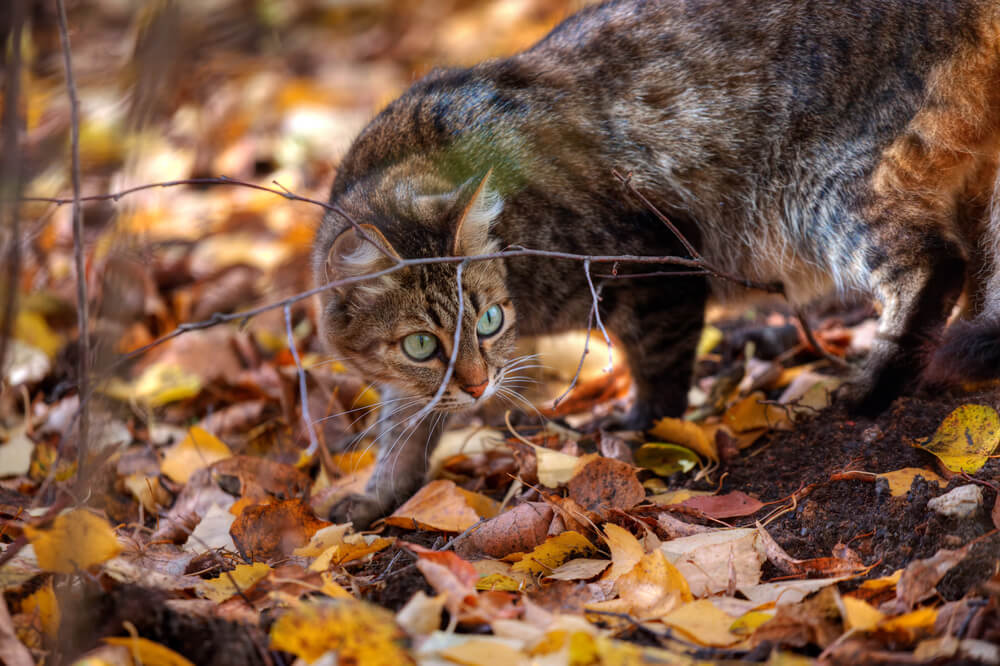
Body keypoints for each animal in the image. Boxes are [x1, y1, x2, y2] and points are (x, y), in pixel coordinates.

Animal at [316, 0, 1000, 528]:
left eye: (488, 320)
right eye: (421, 346)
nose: (479, 384)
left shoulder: (655, 267)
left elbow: (658, 368)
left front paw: (643, 427)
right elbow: (402, 427)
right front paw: (378, 496)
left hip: (829, 193)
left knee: (935, 263)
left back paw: (876, 383)